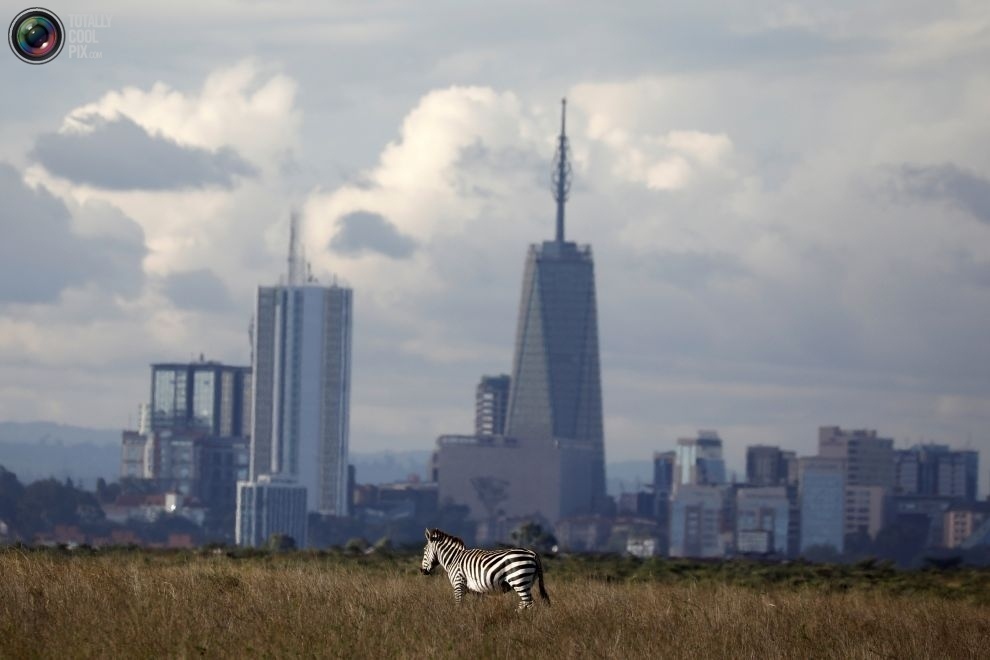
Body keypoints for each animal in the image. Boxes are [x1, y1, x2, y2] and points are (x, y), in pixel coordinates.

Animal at [422, 528, 556, 612]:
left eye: (424, 550)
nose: (421, 571)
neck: (453, 559)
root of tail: (532, 553)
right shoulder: (477, 591)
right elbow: (477, 607)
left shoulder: (458, 584)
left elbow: (458, 605)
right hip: (526, 582)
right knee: (524, 603)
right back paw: (516, 614)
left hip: (519, 579)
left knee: (530, 603)